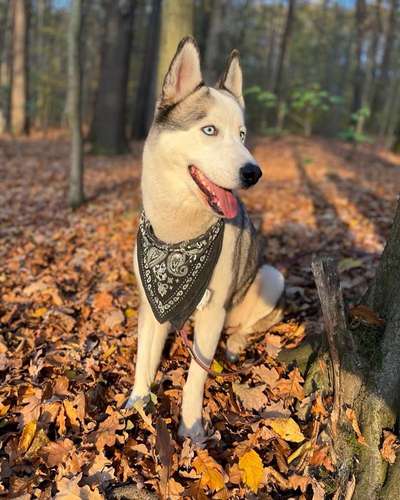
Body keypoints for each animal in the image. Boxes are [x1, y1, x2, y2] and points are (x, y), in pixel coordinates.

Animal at [126, 37, 284, 440]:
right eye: (209, 130)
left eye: (242, 135)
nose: (253, 172)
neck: (178, 234)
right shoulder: (151, 303)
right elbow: (144, 358)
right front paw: (139, 400)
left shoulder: (212, 312)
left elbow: (196, 376)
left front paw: (191, 424)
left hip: (270, 277)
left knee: (246, 326)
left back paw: (236, 343)